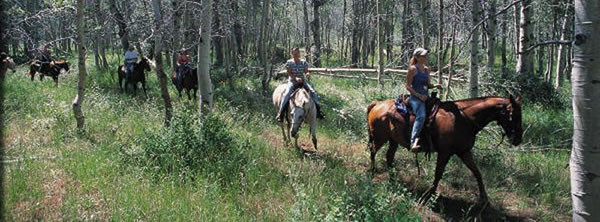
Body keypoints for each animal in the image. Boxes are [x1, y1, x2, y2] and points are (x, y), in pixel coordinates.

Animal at [366, 94, 520, 202]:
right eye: (514, 115)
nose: (518, 140)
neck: (464, 119)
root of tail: (377, 104)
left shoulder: (464, 152)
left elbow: (477, 172)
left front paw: (484, 198)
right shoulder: (445, 152)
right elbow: (438, 173)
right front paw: (430, 194)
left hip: (393, 140)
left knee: (389, 157)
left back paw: (393, 179)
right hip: (380, 138)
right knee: (373, 151)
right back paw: (372, 171)